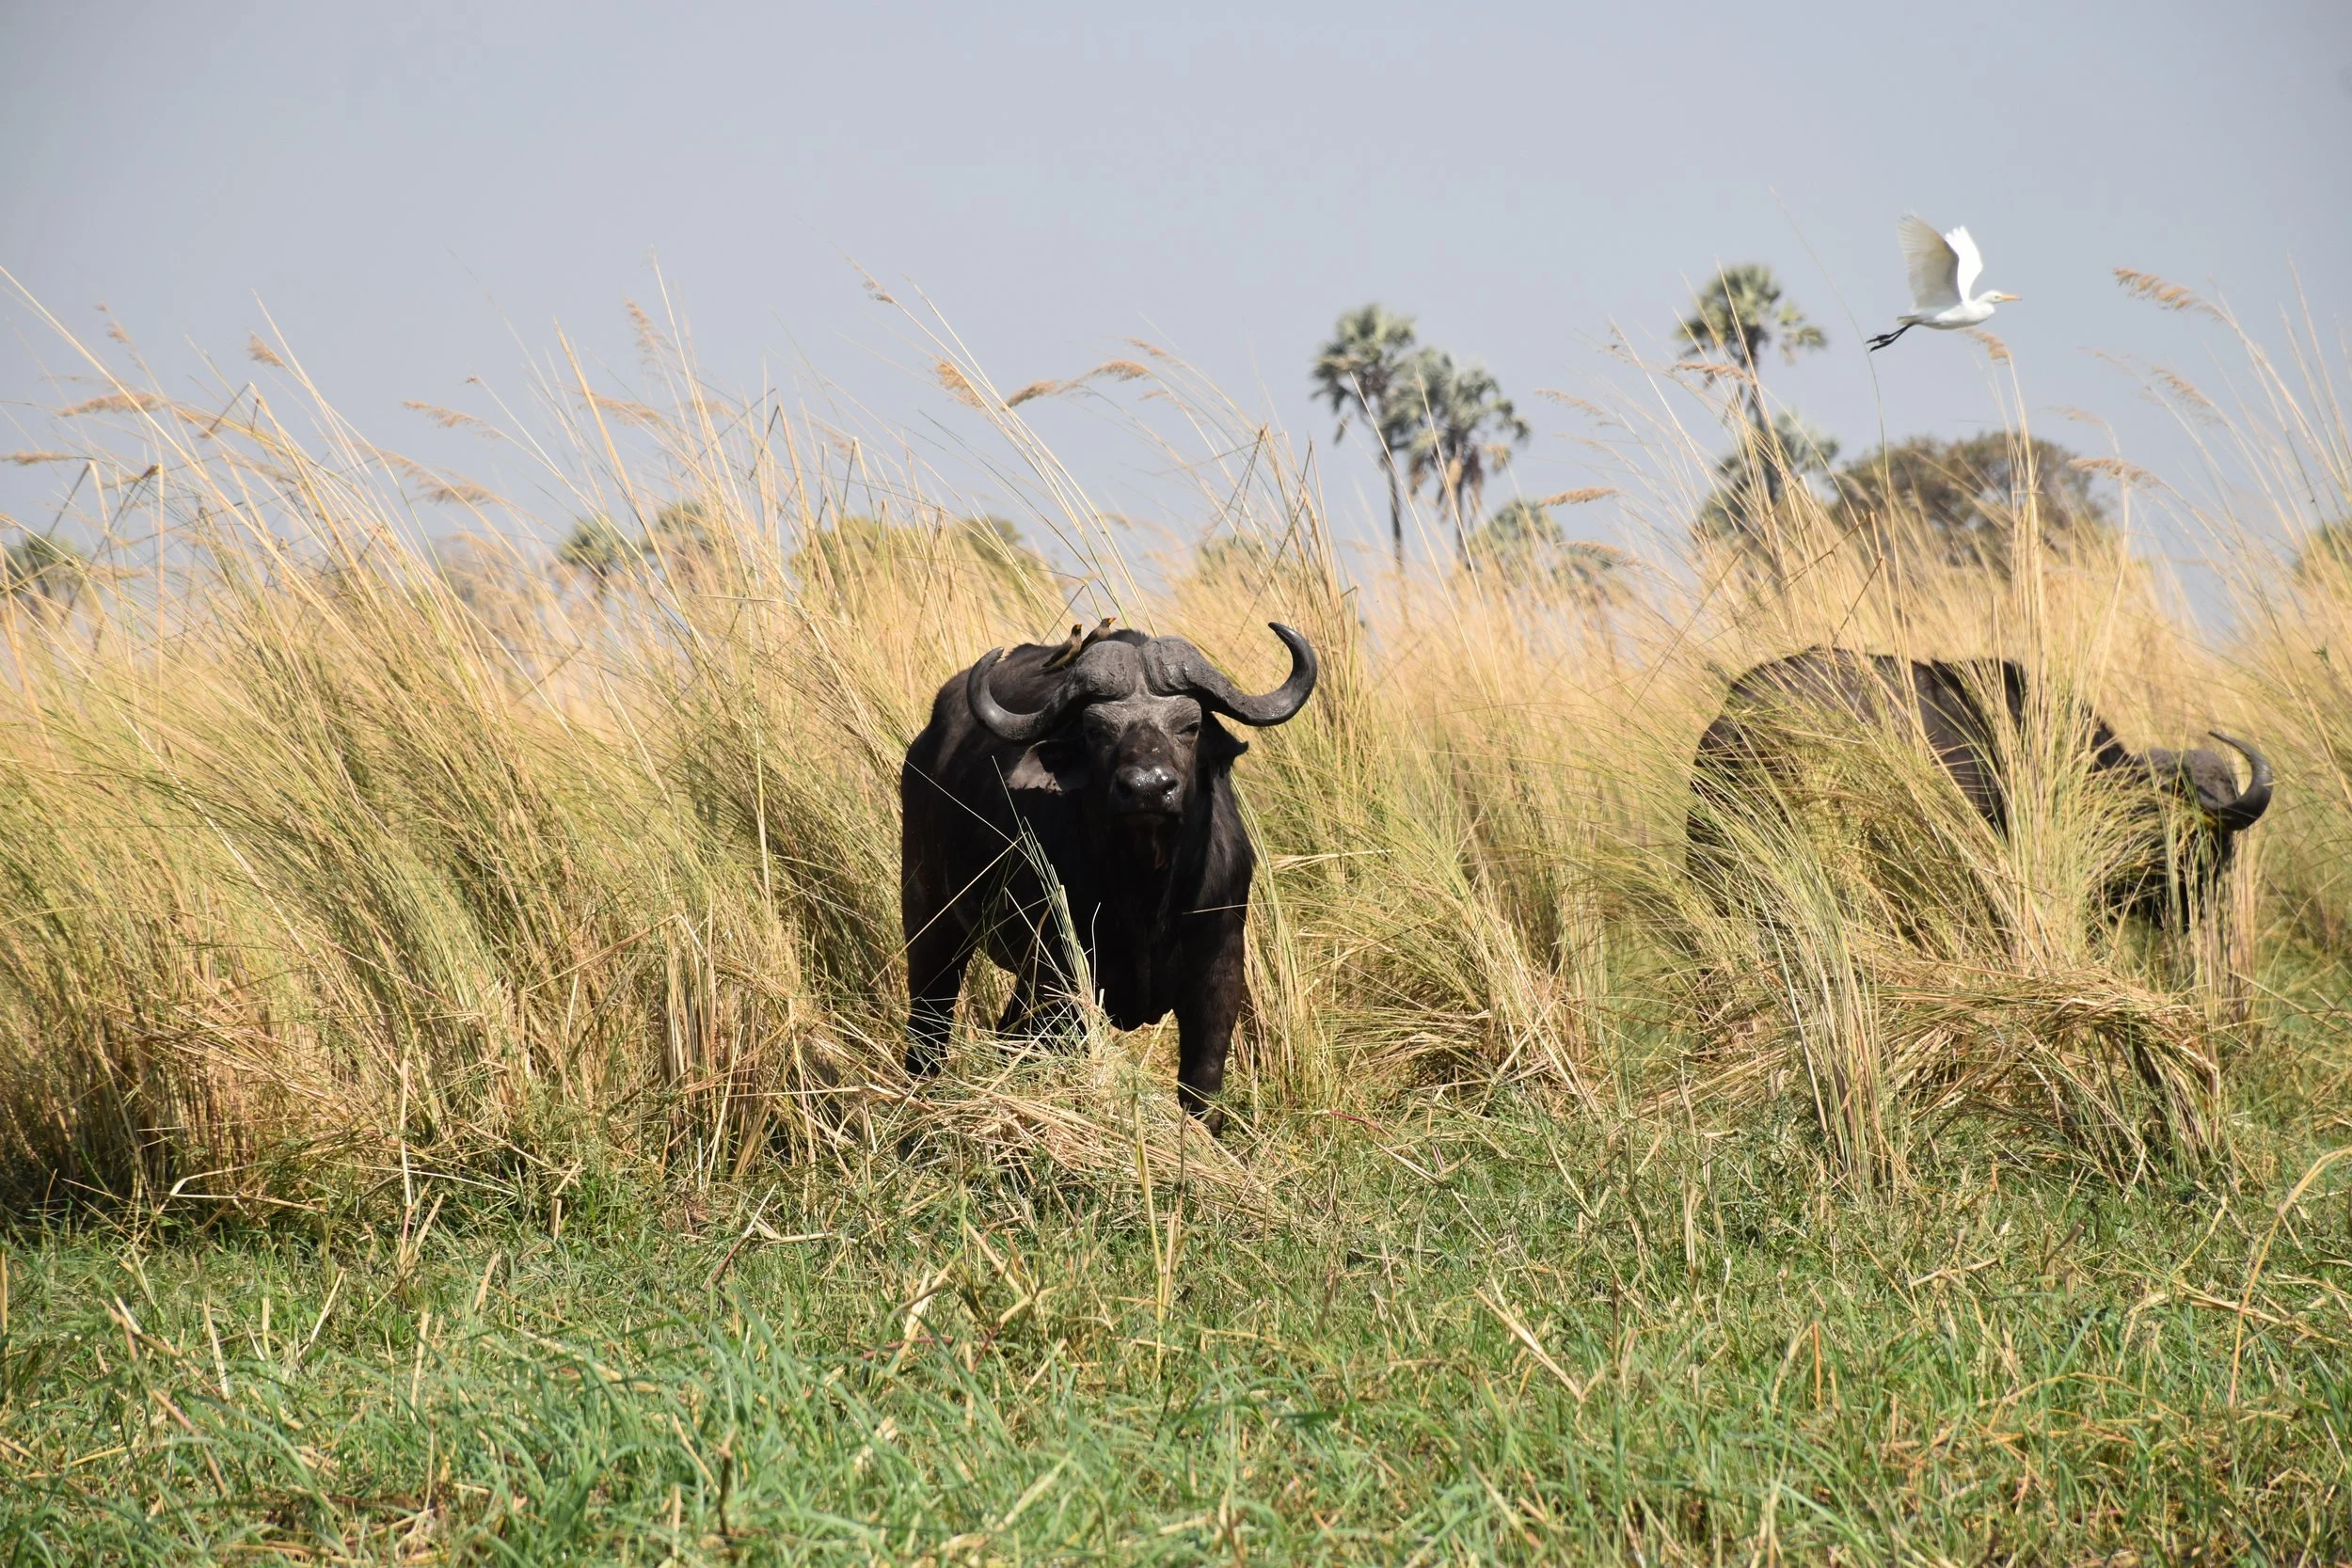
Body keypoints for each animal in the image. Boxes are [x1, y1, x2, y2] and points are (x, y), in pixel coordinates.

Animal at [900, 622, 1318, 1126]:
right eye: (1097, 730)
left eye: (1190, 726)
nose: (1148, 788)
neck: (1146, 895)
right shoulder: (1057, 974)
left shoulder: (1219, 970)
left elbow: (1202, 1089)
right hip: (930, 917)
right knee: (931, 1021)